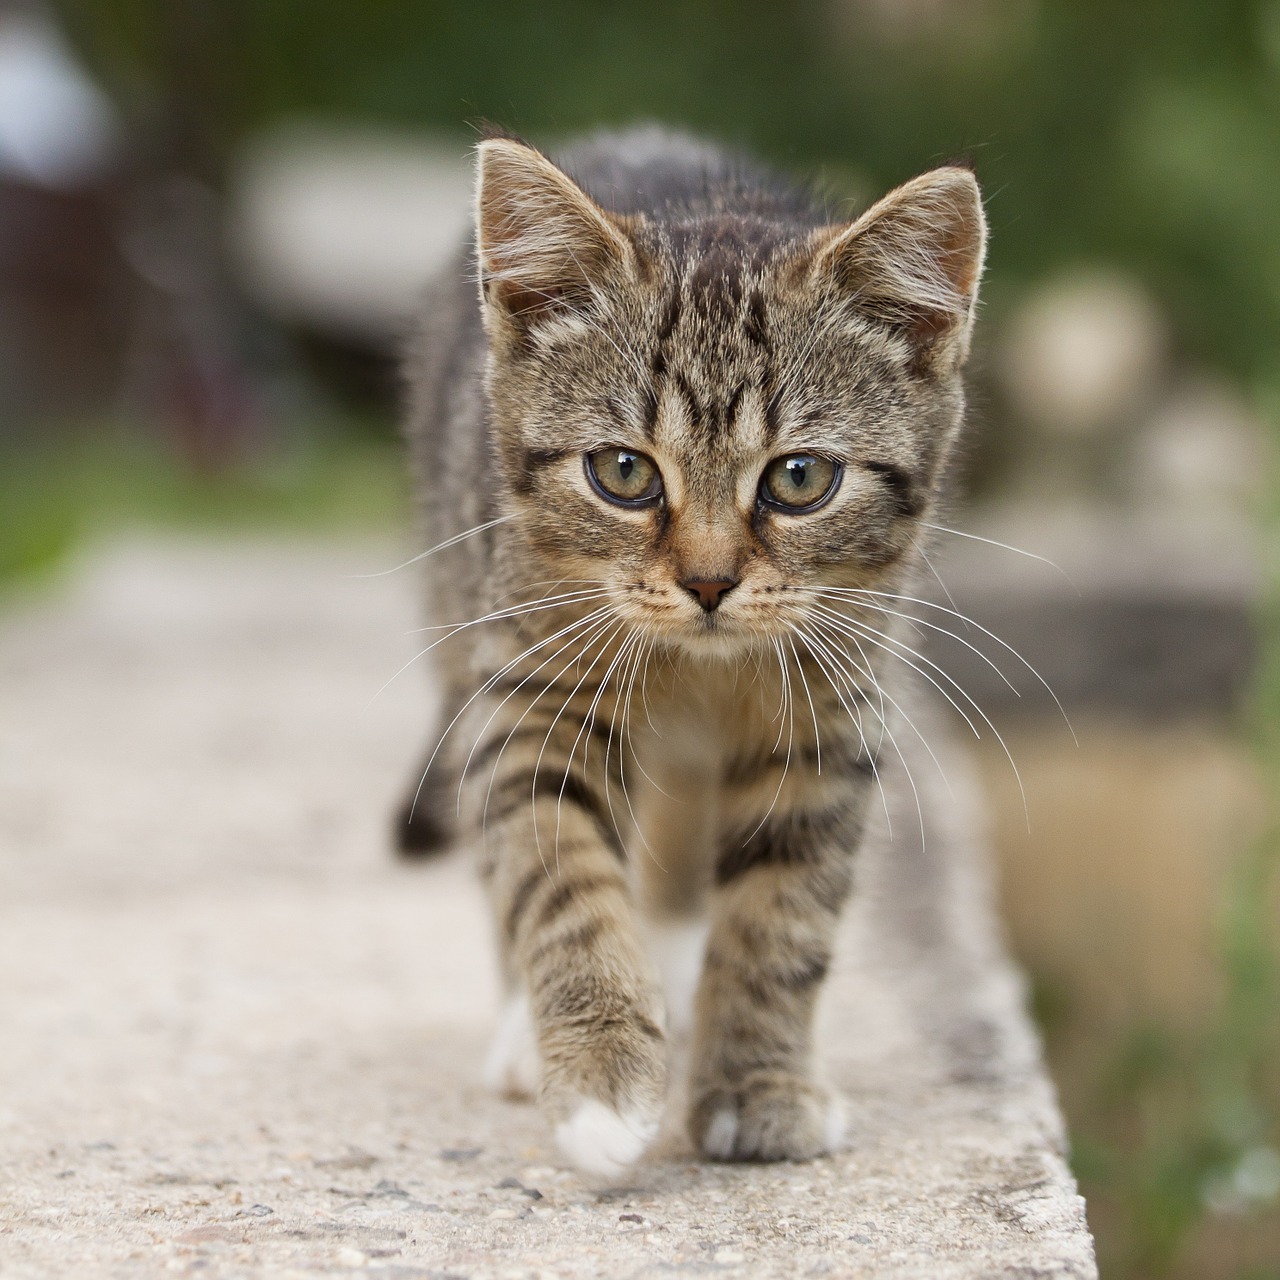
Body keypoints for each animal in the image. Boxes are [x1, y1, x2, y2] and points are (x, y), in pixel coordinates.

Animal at [394, 127, 983, 1177]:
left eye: (801, 478)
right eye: (623, 471)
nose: (709, 583)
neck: (700, 670)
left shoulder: (830, 716)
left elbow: (781, 913)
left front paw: (754, 1082)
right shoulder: (531, 690)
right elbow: (555, 872)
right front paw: (596, 1074)